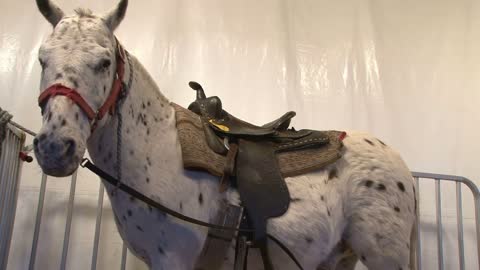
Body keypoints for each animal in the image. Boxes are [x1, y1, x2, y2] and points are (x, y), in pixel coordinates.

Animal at [33, 1, 416, 268]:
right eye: (41, 59)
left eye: (104, 62)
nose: (55, 147)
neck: (157, 150)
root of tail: (400, 162)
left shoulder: (172, 259)